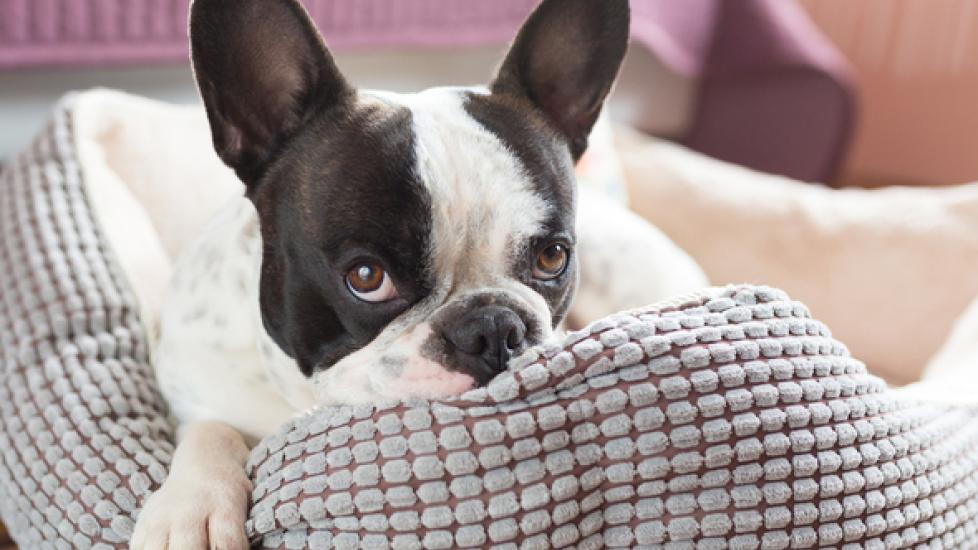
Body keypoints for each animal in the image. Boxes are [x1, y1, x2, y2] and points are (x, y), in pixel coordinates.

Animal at [132, 0, 632, 548]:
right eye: (367, 277)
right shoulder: (195, 389)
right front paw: (192, 506)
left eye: (552, 258)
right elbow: (209, 429)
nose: (494, 328)